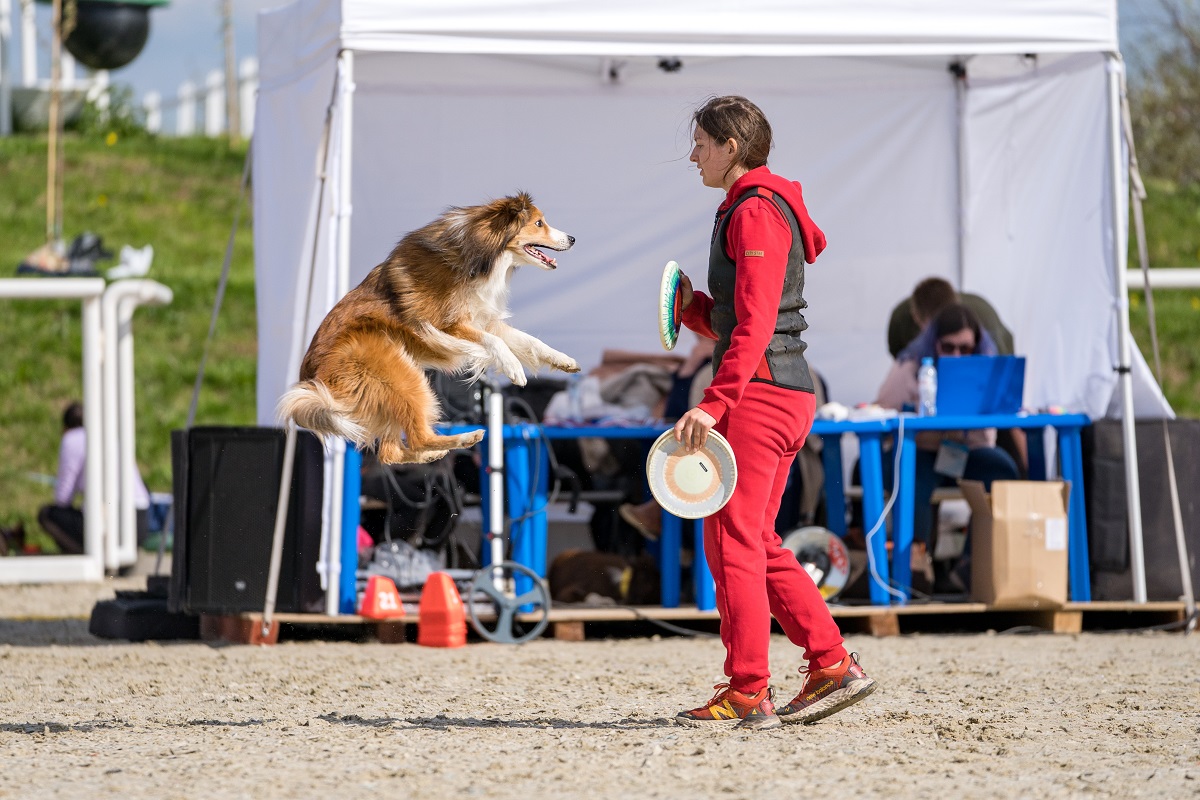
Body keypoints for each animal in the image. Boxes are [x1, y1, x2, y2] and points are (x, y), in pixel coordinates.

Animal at [280, 191, 580, 462]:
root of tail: (311, 375)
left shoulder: (485, 320)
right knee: (416, 437)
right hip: (403, 379)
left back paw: (433, 454)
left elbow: (529, 341)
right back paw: (465, 438)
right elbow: (495, 343)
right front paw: (514, 368)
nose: (573, 239)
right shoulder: (446, 326)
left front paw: (563, 361)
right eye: (539, 223)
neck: (480, 253)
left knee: (390, 453)